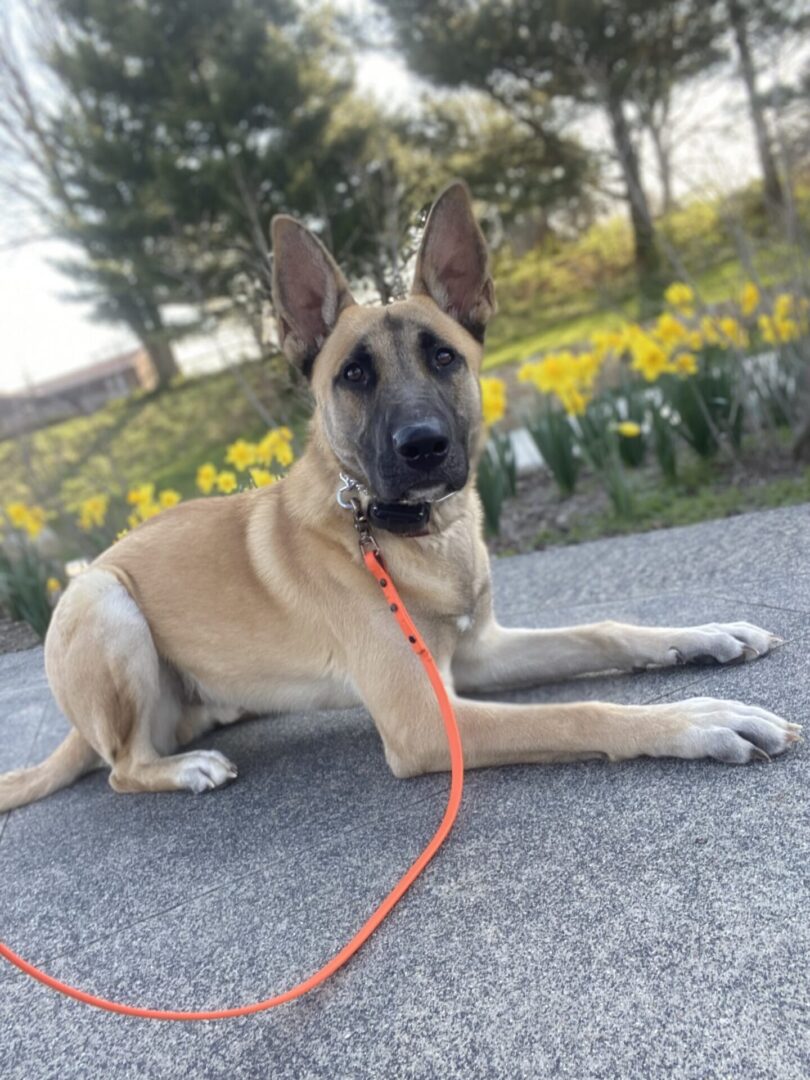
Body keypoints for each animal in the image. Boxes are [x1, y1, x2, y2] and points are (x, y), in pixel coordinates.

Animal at [0, 183, 799, 812]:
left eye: (443, 356)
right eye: (353, 374)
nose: (423, 447)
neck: (410, 534)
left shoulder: (477, 655)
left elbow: (602, 634)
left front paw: (703, 636)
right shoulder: (428, 720)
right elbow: (581, 711)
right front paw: (700, 721)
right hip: (102, 599)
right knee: (122, 769)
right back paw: (183, 767)